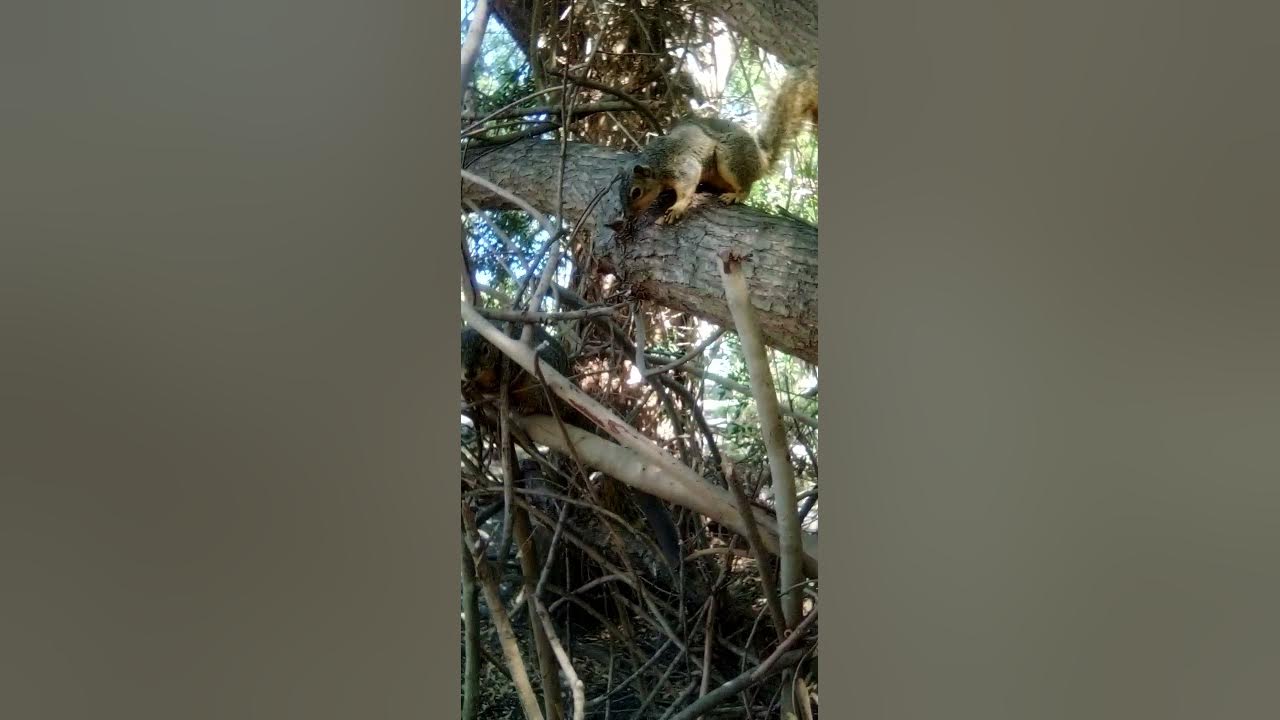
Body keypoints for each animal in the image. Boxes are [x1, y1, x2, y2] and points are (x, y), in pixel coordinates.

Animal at [461, 325, 684, 573]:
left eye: (484, 350)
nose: (468, 373)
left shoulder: (512, 364)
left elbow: (504, 380)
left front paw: (484, 387)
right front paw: (469, 387)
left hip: (538, 384)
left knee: (536, 403)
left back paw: (522, 407)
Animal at [615, 64, 818, 226]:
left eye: (636, 192)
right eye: (620, 194)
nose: (629, 216)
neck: (656, 161)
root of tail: (762, 159)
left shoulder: (681, 165)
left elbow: (687, 187)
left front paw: (678, 207)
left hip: (731, 156)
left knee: (745, 187)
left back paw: (736, 195)